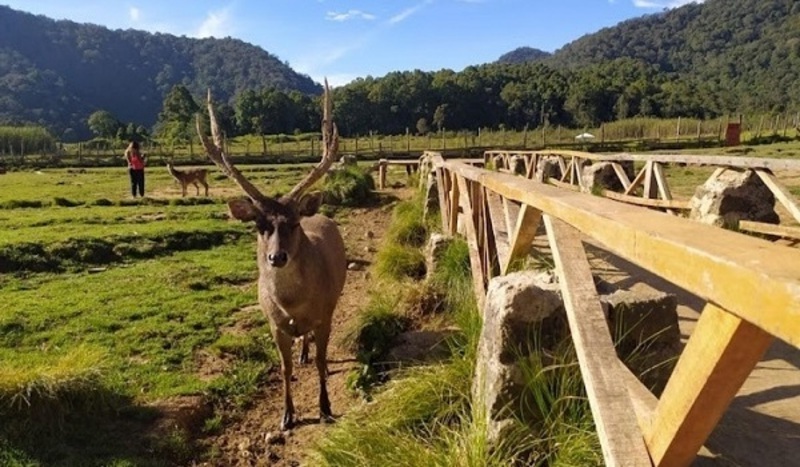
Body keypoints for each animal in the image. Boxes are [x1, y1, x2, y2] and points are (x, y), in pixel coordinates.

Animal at [197, 81, 346, 432]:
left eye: (293, 223)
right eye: (260, 224)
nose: (277, 257)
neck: (293, 305)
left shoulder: (325, 314)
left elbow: (322, 360)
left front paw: (325, 408)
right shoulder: (273, 323)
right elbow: (283, 368)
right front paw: (287, 416)